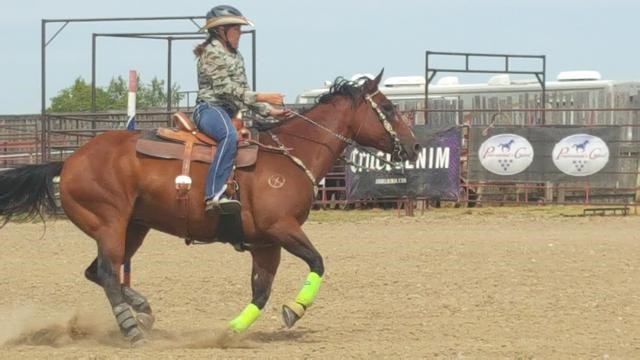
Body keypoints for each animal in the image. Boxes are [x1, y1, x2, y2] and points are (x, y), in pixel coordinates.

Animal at [0, 69, 420, 344]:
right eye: (387, 107)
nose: (414, 146)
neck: (288, 156)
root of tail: (68, 161)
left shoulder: (266, 243)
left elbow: (260, 291)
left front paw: (229, 331)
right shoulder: (282, 229)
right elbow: (317, 262)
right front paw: (294, 310)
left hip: (134, 227)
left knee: (101, 273)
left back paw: (144, 311)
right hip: (110, 223)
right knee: (106, 272)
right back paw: (132, 329)